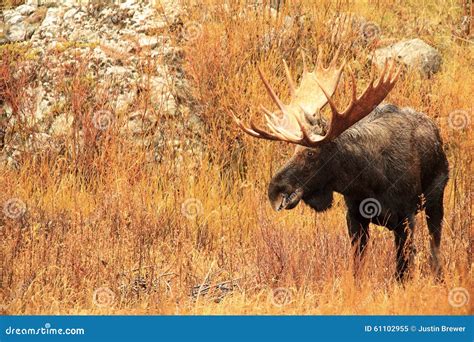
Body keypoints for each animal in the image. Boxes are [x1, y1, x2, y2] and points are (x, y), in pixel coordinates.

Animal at [232, 50, 448, 280]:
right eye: (294, 150)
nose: (275, 191)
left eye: (311, 153)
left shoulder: (406, 218)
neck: (368, 182)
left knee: (435, 246)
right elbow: (357, 266)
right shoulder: (354, 216)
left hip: (436, 199)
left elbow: (403, 269)